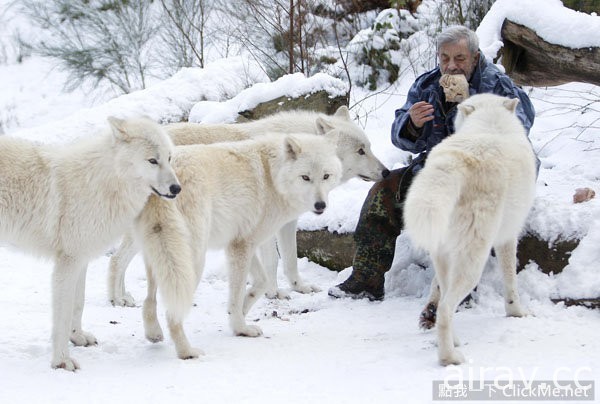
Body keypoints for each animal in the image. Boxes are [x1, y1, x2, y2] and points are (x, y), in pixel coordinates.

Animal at [0, 117, 180, 370]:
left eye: (169, 158)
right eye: (152, 161)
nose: (177, 188)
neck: (104, 182)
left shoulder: (81, 259)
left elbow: (78, 304)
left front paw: (77, 337)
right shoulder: (67, 262)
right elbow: (63, 315)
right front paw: (62, 361)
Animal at [108, 105, 390, 304]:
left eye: (369, 147)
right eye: (360, 151)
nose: (387, 172)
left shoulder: (287, 222)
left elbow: (290, 260)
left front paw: (299, 288)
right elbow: (273, 262)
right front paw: (274, 293)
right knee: (116, 261)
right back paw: (118, 299)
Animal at [136, 133, 342, 360]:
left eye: (326, 176)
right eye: (305, 177)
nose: (320, 205)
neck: (273, 176)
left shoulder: (241, 243)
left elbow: (262, 282)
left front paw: (240, 312)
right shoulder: (241, 246)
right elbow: (238, 293)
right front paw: (240, 328)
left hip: (160, 256)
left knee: (149, 300)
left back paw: (153, 333)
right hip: (192, 261)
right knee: (172, 313)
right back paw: (186, 352)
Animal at [404, 94, 536, 366]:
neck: (490, 124)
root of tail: (455, 161)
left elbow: (435, 286)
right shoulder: (508, 238)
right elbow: (511, 280)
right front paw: (516, 312)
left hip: (445, 255)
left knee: (444, 299)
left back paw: (452, 340)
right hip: (474, 262)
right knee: (446, 308)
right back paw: (450, 357)